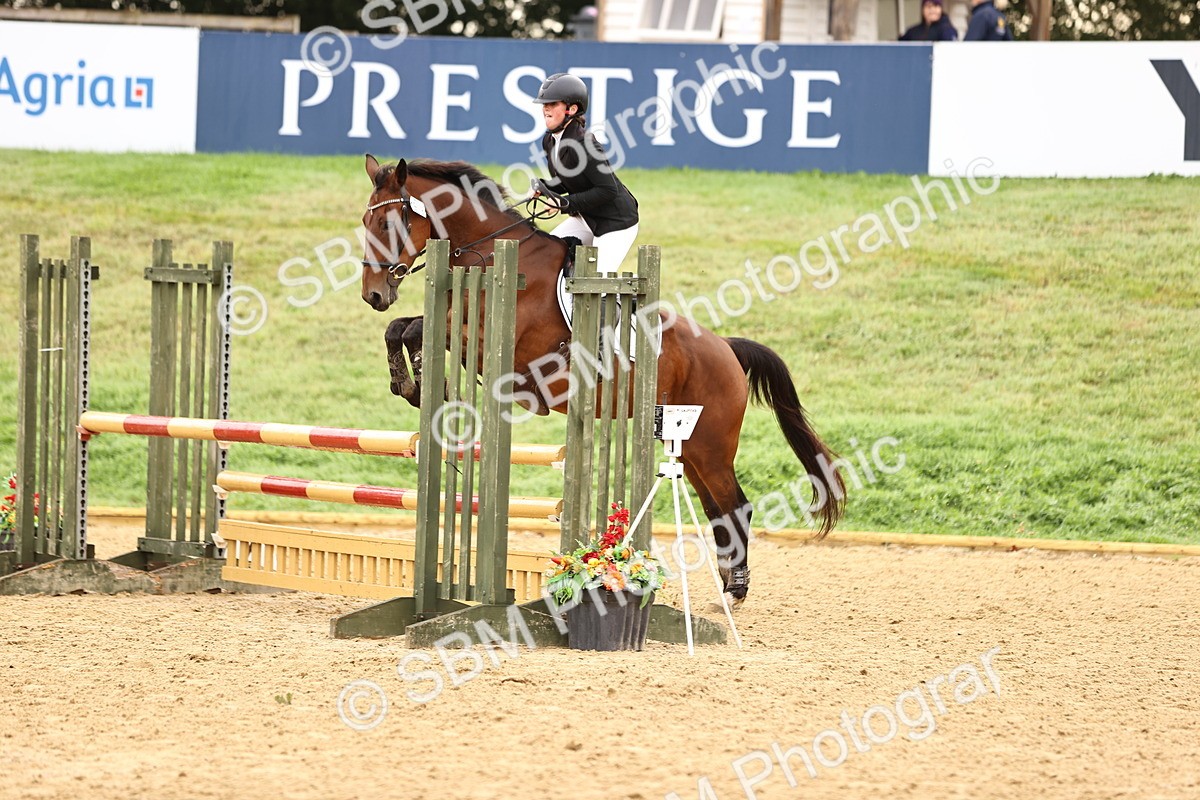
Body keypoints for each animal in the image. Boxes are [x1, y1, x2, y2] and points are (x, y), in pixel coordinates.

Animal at [359, 154, 845, 605]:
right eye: (365, 222)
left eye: (387, 222)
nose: (373, 295)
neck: (493, 251)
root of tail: (726, 348)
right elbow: (399, 328)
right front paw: (409, 383)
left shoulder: (490, 339)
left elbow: (416, 329)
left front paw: (421, 379)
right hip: (690, 446)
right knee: (717, 508)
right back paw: (727, 583)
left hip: (711, 445)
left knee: (736, 505)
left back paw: (735, 591)